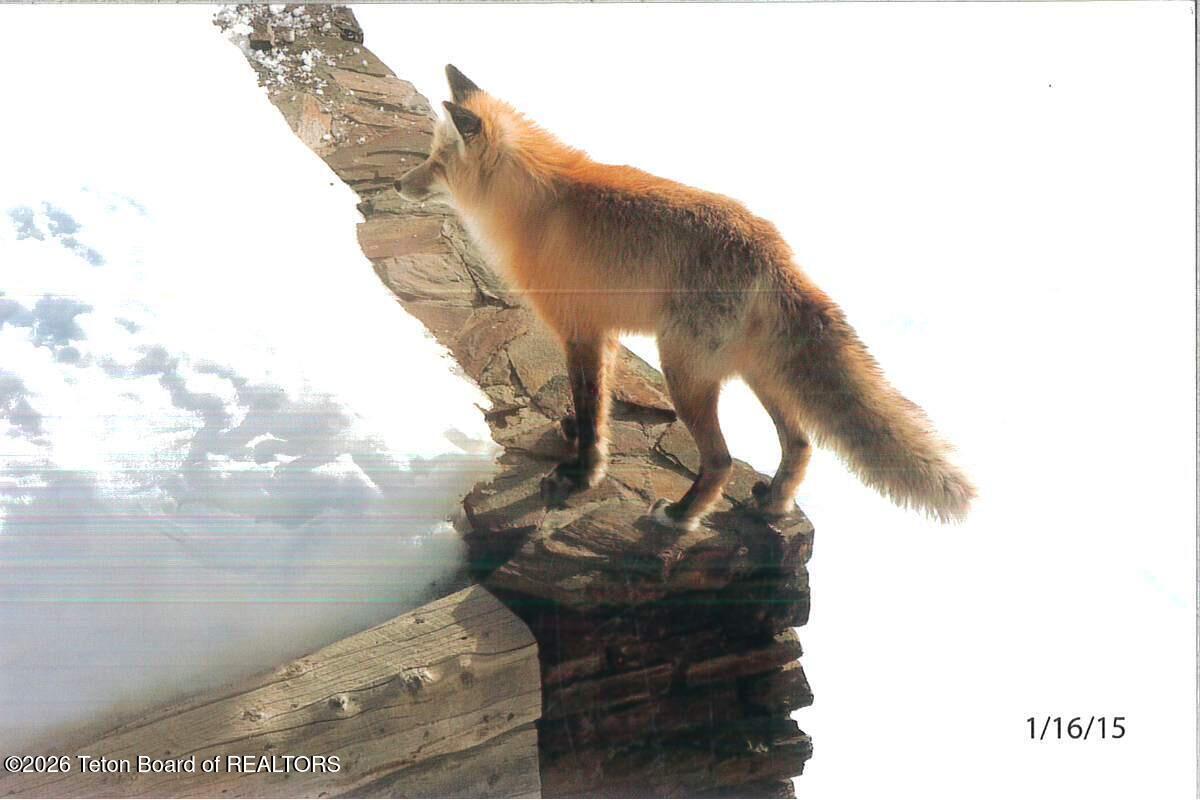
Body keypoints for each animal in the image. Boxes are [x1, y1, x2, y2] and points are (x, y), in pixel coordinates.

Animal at [396, 65, 975, 532]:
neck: (536, 205)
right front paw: (576, 439)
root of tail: (774, 250)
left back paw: (681, 516)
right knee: (801, 443)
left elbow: (589, 407)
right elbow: (596, 408)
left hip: (684, 372)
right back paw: (771, 504)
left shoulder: (580, 329)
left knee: (721, 459)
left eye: (439, 162)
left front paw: (581, 476)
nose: (401, 184)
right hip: (758, 374)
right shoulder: (603, 334)